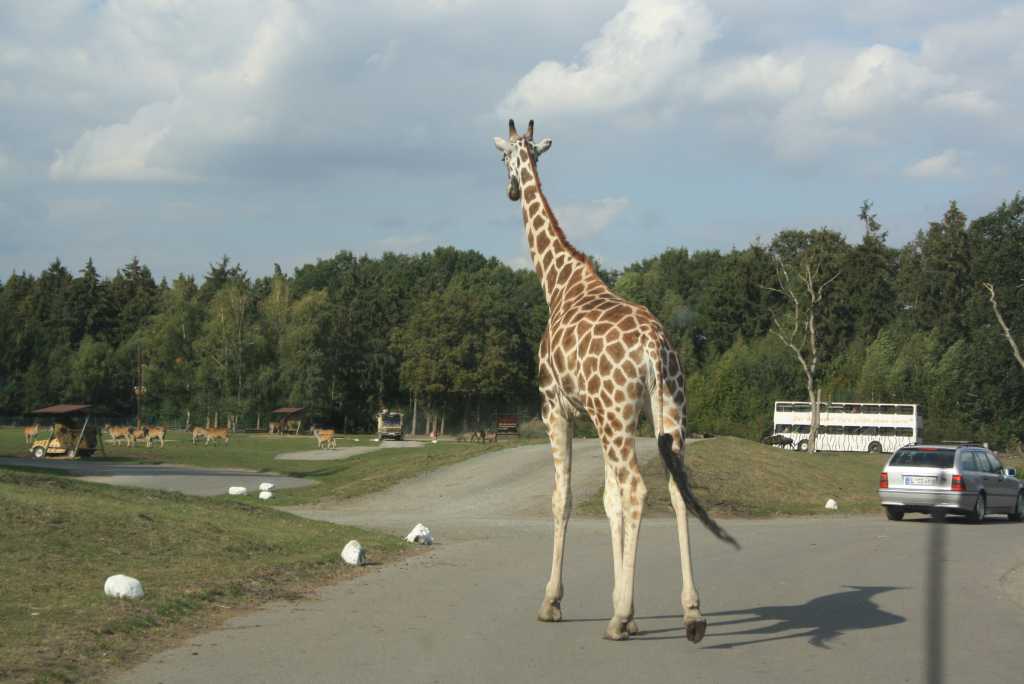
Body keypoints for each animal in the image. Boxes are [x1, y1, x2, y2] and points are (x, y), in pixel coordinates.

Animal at [493, 121, 741, 643]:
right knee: (673, 489)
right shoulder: (599, 418)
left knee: (639, 490)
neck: (559, 284)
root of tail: (653, 349)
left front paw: (555, 602)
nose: (510, 190)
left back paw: (619, 619)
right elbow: (609, 501)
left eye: (504, 159)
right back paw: (692, 613)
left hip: (617, 415)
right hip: (667, 411)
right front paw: (623, 602)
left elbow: (564, 498)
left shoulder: (556, 407)